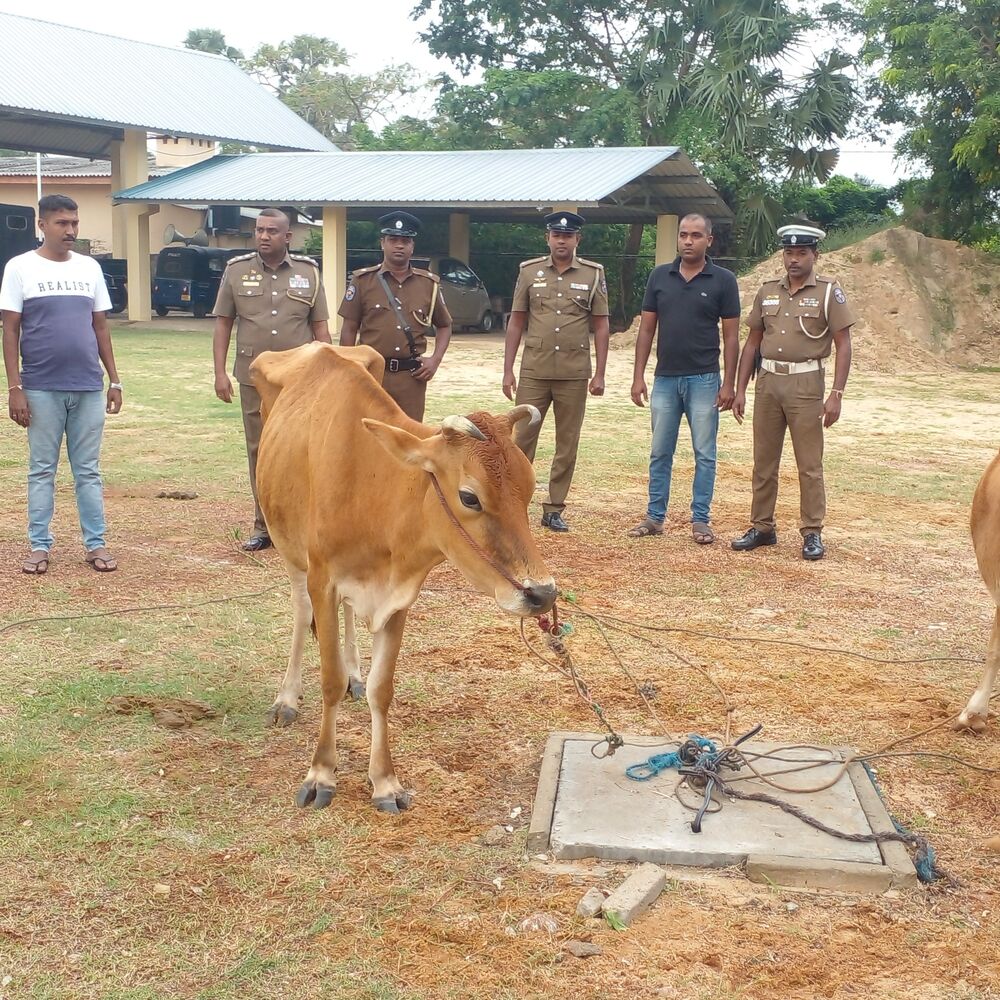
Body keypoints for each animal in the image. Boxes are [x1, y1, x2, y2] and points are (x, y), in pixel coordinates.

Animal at [250, 342, 557, 812]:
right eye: (469, 497)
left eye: (529, 489)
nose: (542, 593)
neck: (372, 489)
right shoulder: (322, 578)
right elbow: (328, 680)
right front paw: (321, 774)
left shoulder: (398, 597)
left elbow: (383, 688)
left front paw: (385, 782)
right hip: (289, 550)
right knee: (302, 614)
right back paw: (286, 698)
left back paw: (355, 674)